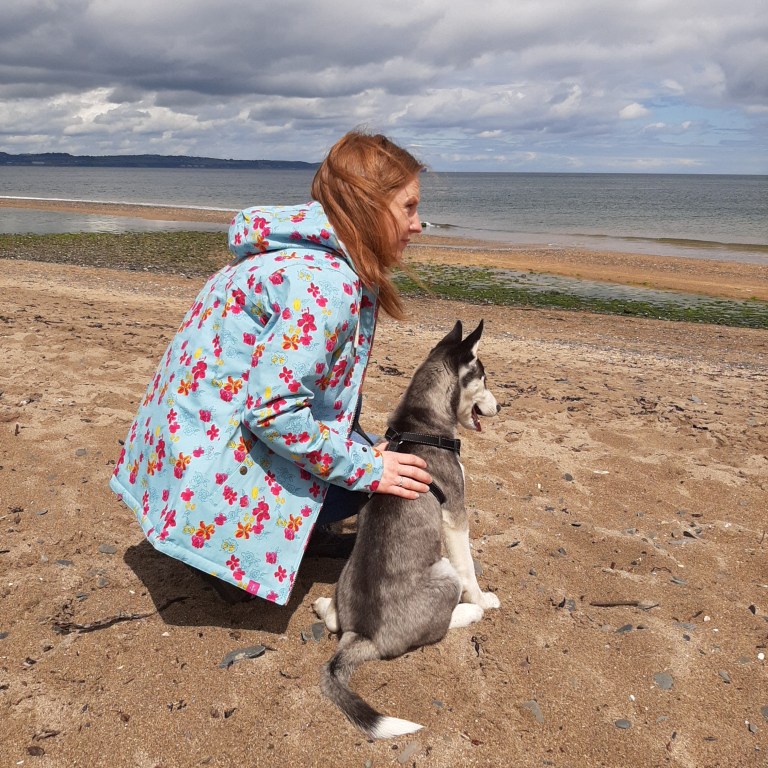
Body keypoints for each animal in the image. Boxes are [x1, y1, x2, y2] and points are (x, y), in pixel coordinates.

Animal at [313, 320, 501, 739]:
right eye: (483, 377)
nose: (501, 407)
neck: (421, 426)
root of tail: (366, 635)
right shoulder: (455, 515)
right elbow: (470, 568)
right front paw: (483, 600)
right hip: (443, 574)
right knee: (440, 624)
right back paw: (468, 612)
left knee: (334, 620)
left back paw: (323, 605)